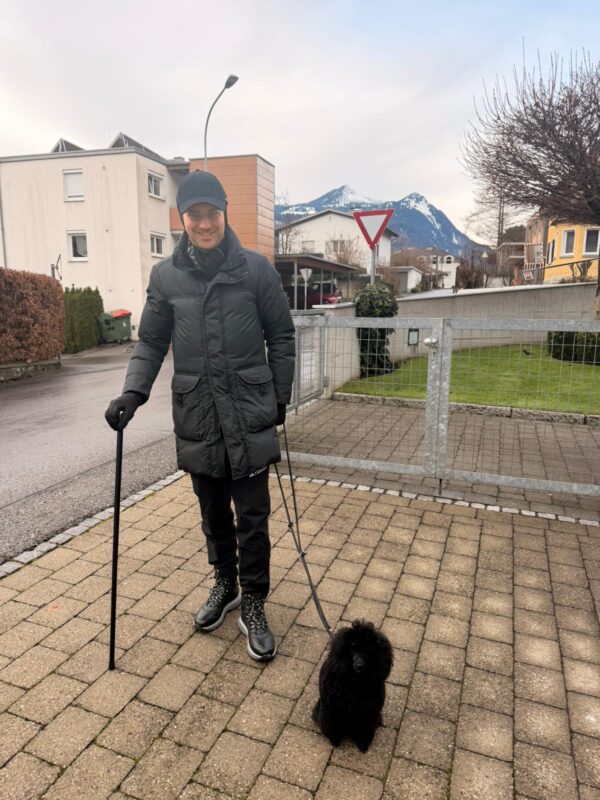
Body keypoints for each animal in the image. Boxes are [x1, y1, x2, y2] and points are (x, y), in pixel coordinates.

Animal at [312, 619, 393, 752]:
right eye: (352, 649)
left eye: (368, 651)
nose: (359, 665)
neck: (354, 681)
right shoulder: (332, 710)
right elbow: (333, 729)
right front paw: (335, 741)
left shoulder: (368, 713)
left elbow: (365, 731)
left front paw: (363, 745)